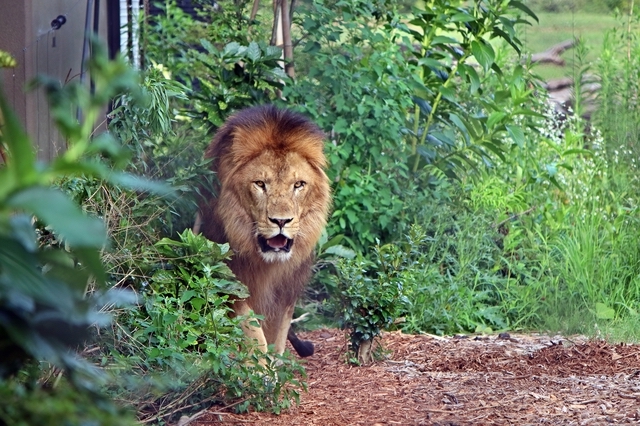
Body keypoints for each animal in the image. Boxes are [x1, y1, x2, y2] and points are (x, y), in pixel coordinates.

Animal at [198, 105, 330, 358]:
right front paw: (258, 366)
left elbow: (277, 337)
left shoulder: (286, 291)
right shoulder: (230, 281)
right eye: (260, 184)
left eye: (298, 184)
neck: (266, 264)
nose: (281, 221)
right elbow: (253, 332)